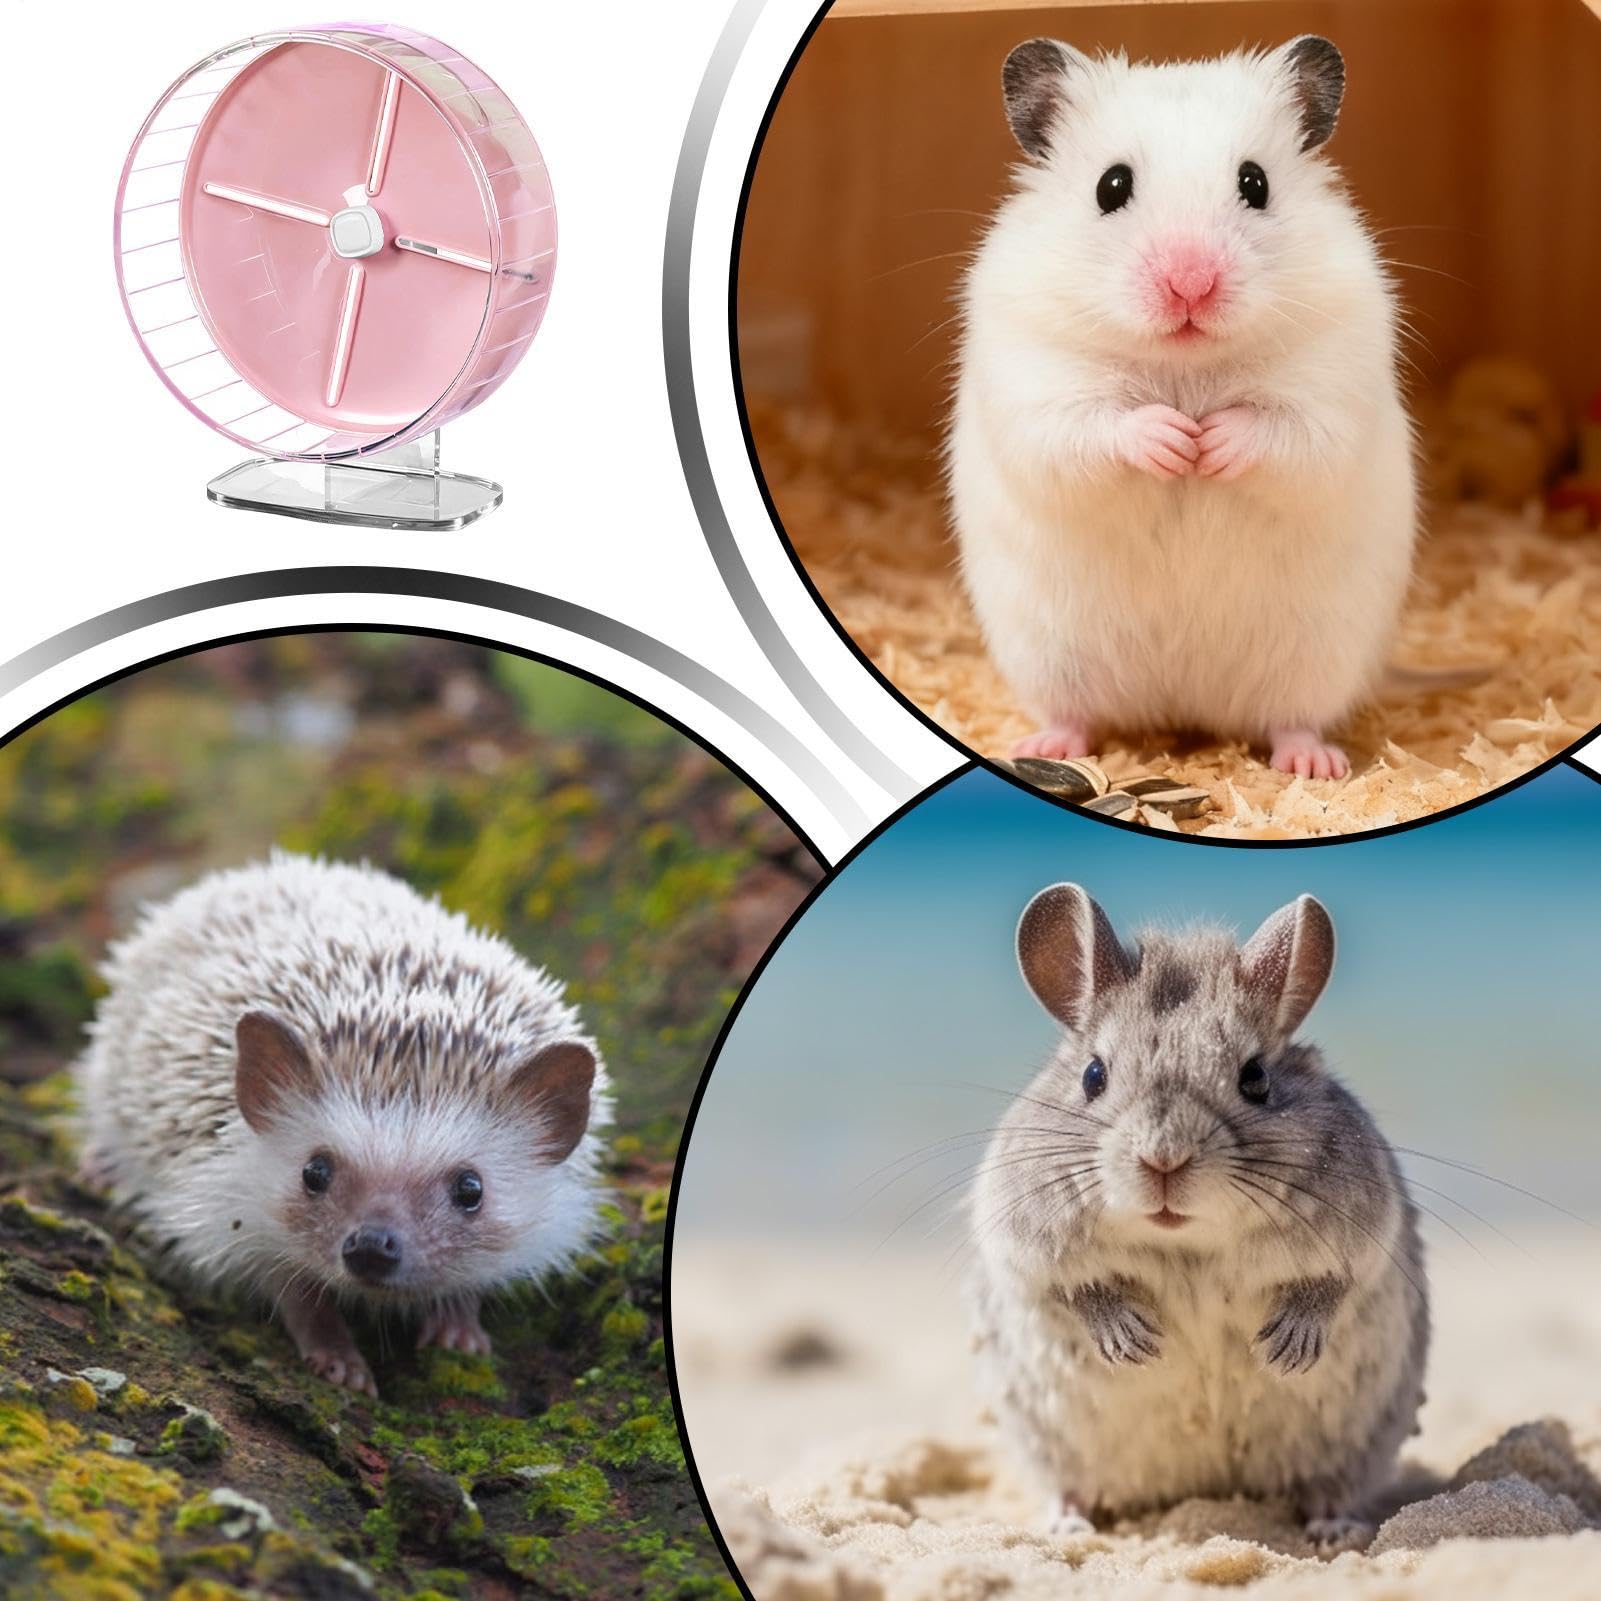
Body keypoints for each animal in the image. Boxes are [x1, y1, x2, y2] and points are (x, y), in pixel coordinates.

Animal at [75, 853, 611, 1395]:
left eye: (470, 1188)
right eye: (313, 1172)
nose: (371, 1246)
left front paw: (459, 1330)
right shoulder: (235, 1208)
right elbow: (294, 1290)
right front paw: (338, 1359)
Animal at [949, 37, 1416, 780]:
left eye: (1255, 183)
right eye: (1110, 187)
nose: (1190, 283)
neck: (1184, 366)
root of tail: (1182, 706)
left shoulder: (1330, 387)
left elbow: (1285, 435)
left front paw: (1209, 445)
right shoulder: (1037, 382)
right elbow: (1092, 430)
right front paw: (1176, 442)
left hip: (1315, 656)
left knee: (1291, 719)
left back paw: (1314, 764)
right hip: (1047, 654)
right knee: (1074, 712)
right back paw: (1043, 748)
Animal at [967, 884, 1428, 1544]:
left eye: (1255, 1077)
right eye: (1093, 1075)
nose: (1164, 1159)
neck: (1186, 1240)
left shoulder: (1367, 1233)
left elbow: (1330, 1284)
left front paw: (1286, 1348)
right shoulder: (1021, 1240)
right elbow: (1074, 1288)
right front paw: (1131, 1341)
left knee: (1328, 1487)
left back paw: (1335, 1527)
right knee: (1070, 1486)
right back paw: (1067, 1527)